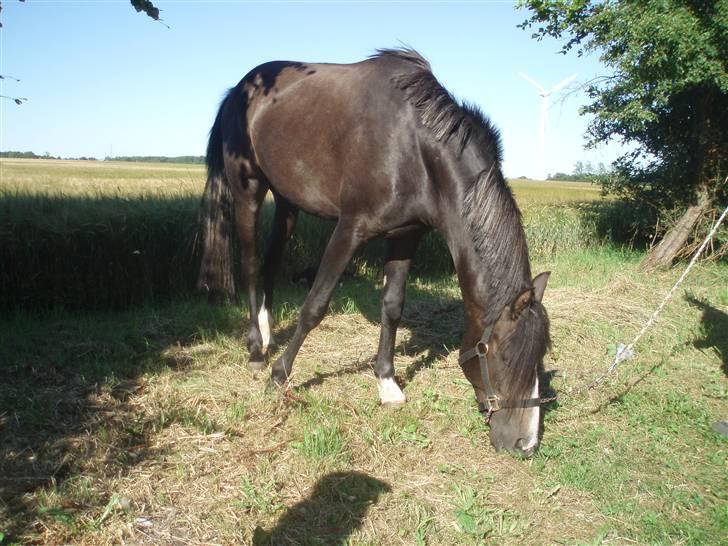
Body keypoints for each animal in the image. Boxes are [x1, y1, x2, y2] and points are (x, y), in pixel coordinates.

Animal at [199, 49, 552, 454]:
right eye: (501, 354)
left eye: (539, 356)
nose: (526, 443)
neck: (415, 148)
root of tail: (239, 90)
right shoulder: (350, 229)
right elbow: (314, 306)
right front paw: (280, 375)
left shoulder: (406, 235)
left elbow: (393, 306)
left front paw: (386, 382)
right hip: (249, 191)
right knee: (253, 263)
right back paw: (257, 350)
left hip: (288, 201)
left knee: (271, 263)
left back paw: (267, 333)